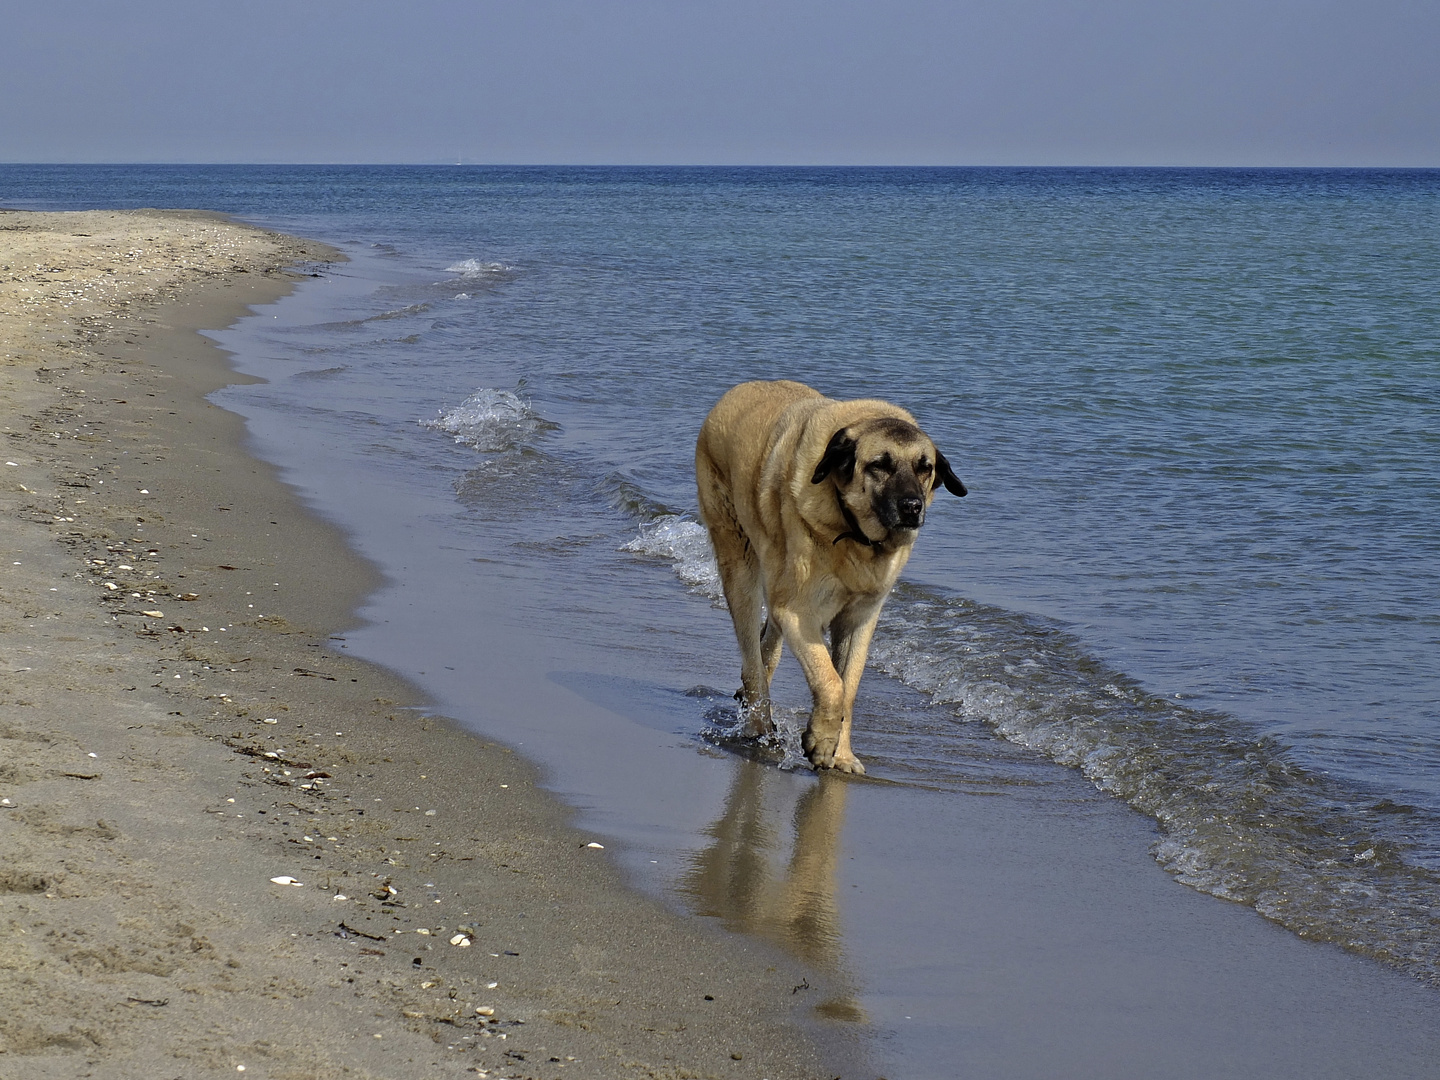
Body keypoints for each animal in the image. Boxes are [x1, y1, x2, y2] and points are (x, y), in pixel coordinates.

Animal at [696, 377, 967, 771]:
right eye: (879, 465)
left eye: (925, 467)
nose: (912, 507)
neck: (856, 536)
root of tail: (737, 392)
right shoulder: (799, 612)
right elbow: (830, 682)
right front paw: (821, 743)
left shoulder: (858, 619)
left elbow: (848, 687)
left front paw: (841, 753)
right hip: (739, 565)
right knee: (751, 660)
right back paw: (758, 726)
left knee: (765, 649)